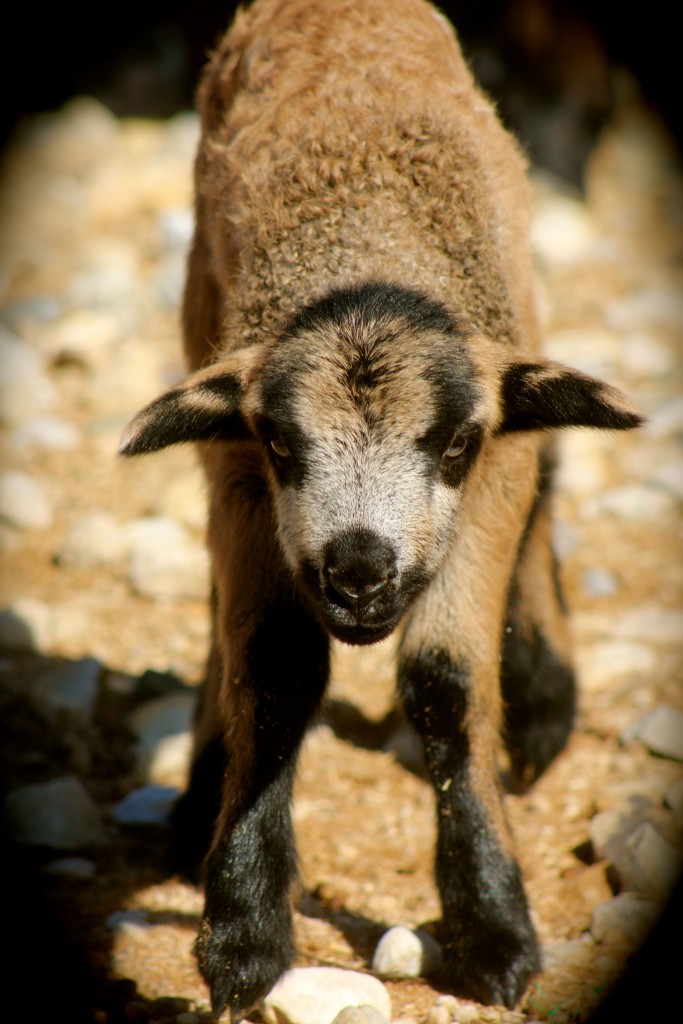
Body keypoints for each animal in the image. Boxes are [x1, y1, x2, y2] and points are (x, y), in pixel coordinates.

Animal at [119, 0, 642, 1016]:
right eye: (283, 445)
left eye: (452, 445)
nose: (358, 572)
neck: (370, 243)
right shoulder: (238, 466)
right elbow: (274, 668)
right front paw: (242, 932)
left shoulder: (492, 464)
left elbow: (445, 682)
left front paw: (492, 933)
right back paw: (201, 790)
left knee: (552, 459)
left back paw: (544, 697)